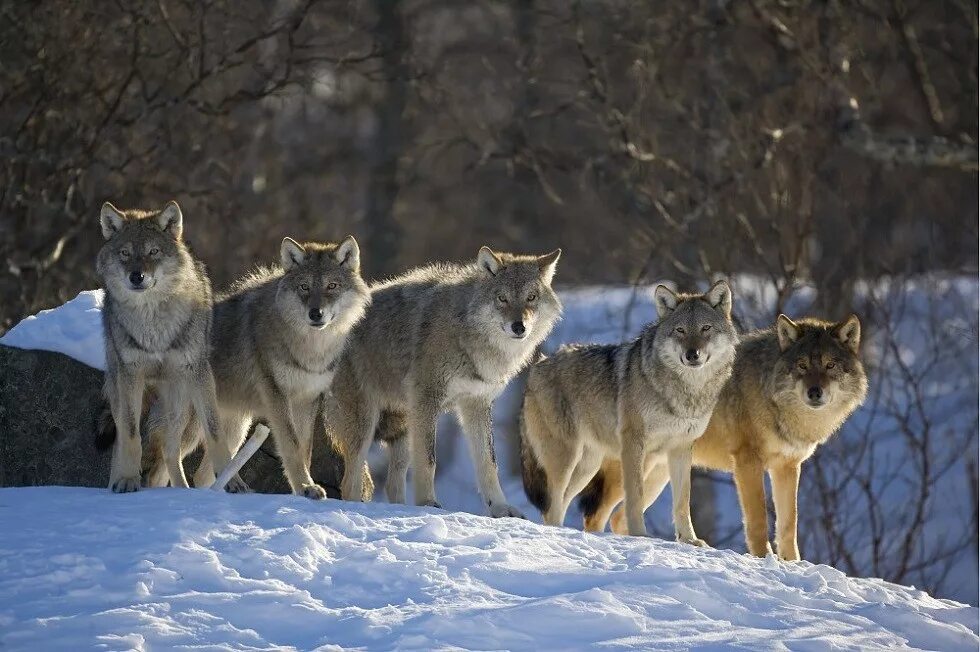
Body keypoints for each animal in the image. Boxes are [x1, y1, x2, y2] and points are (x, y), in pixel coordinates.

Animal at [94, 201, 220, 492]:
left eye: (153, 252)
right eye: (125, 253)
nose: (136, 276)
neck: (153, 324)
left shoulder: (198, 372)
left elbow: (214, 431)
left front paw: (235, 482)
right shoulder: (131, 375)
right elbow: (130, 435)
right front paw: (128, 480)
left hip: (178, 406)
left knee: (169, 453)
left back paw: (181, 490)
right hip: (121, 390)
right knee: (122, 442)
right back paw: (115, 483)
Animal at [144, 237, 374, 496]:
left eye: (332, 285)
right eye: (304, 287)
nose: (316, 314)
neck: (310, 348)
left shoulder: (307, 401)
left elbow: (304, 449)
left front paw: (304, 489)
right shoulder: (277, 397)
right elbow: (292, 446)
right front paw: (305, 487)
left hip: (235, 428)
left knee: (202, 474)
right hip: (195, 424)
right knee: (160, 467)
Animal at [328, 247, 560, 516]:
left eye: (531, 297)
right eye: (502, 298)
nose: (519, 326)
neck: (467, 334)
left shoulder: (476, 404)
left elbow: (489, 463)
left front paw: (500, 508)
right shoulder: (428, 399)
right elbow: (429, 461)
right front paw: (427, 503)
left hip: (403, 430)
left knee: (391, 486)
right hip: (366, 424)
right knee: (349, 484)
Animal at [520, 280, 736, 540]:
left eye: (705, 328)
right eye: (680, 330)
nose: (692, 355)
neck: (684, 392)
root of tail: (537, 365)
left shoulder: (681, 448)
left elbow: (683, 501)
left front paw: (690, 540)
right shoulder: (634, 444)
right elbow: (634, 497)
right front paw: (640, 535)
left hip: (591, 467)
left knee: (565, 504)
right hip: (566, 458)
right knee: (553, 505)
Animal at [580, 312, 868, 560]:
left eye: (830, 365)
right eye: (802, 365)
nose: (815, 392)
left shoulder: (788, 466)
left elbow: (789, 525)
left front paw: (792, 564)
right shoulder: (747, 462)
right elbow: (758, 519)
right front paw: (764, 559)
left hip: (660, 474)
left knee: (618, 518)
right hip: (631, 471)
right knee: (596, 516)